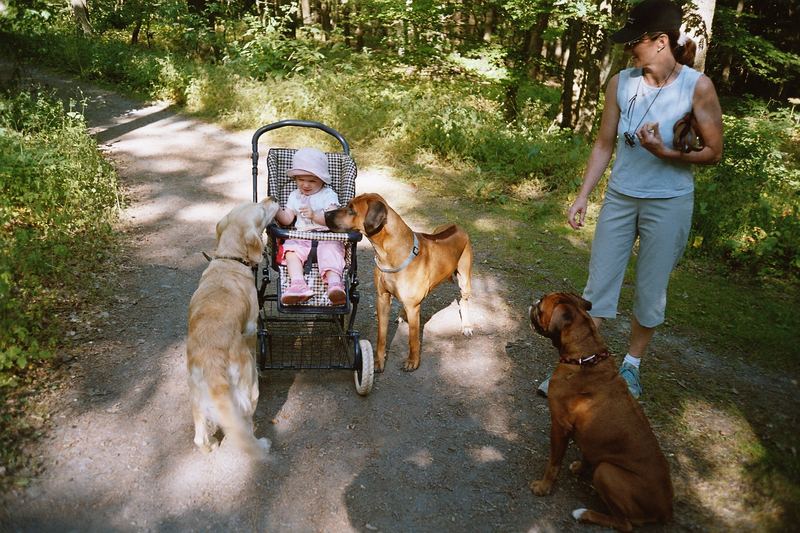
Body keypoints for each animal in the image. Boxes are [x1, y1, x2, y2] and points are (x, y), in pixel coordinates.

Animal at [186, 197, 280, 460]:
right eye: (261, 210)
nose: (273, 198)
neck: (230, 259)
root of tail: (212, 361)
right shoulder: (251, 327)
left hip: (197, 398)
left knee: (199, 438)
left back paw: (210, 446)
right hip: (248, 392)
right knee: (245, 427)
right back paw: (262, 445)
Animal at [326, 193, 476, 372]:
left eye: (352, 210)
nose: (326, 214)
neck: (388, 253)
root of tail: (457, 225)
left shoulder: (413, 307)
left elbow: (413, 338)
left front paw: (413, 361)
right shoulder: (382, 298)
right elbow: (381, 335)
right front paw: (378, 361)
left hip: (464, 279)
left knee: (464, 300)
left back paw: (466, 325)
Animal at [532, 294, 676, 528]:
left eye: (542, 306)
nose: (534, 301)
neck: (584, 359)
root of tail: (666, 509)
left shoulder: (559, 426)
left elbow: (553, 463)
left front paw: (543, 487)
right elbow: (588, 451)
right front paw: (580, 467)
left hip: (606, 472)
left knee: (624, 523)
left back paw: (584, 513)